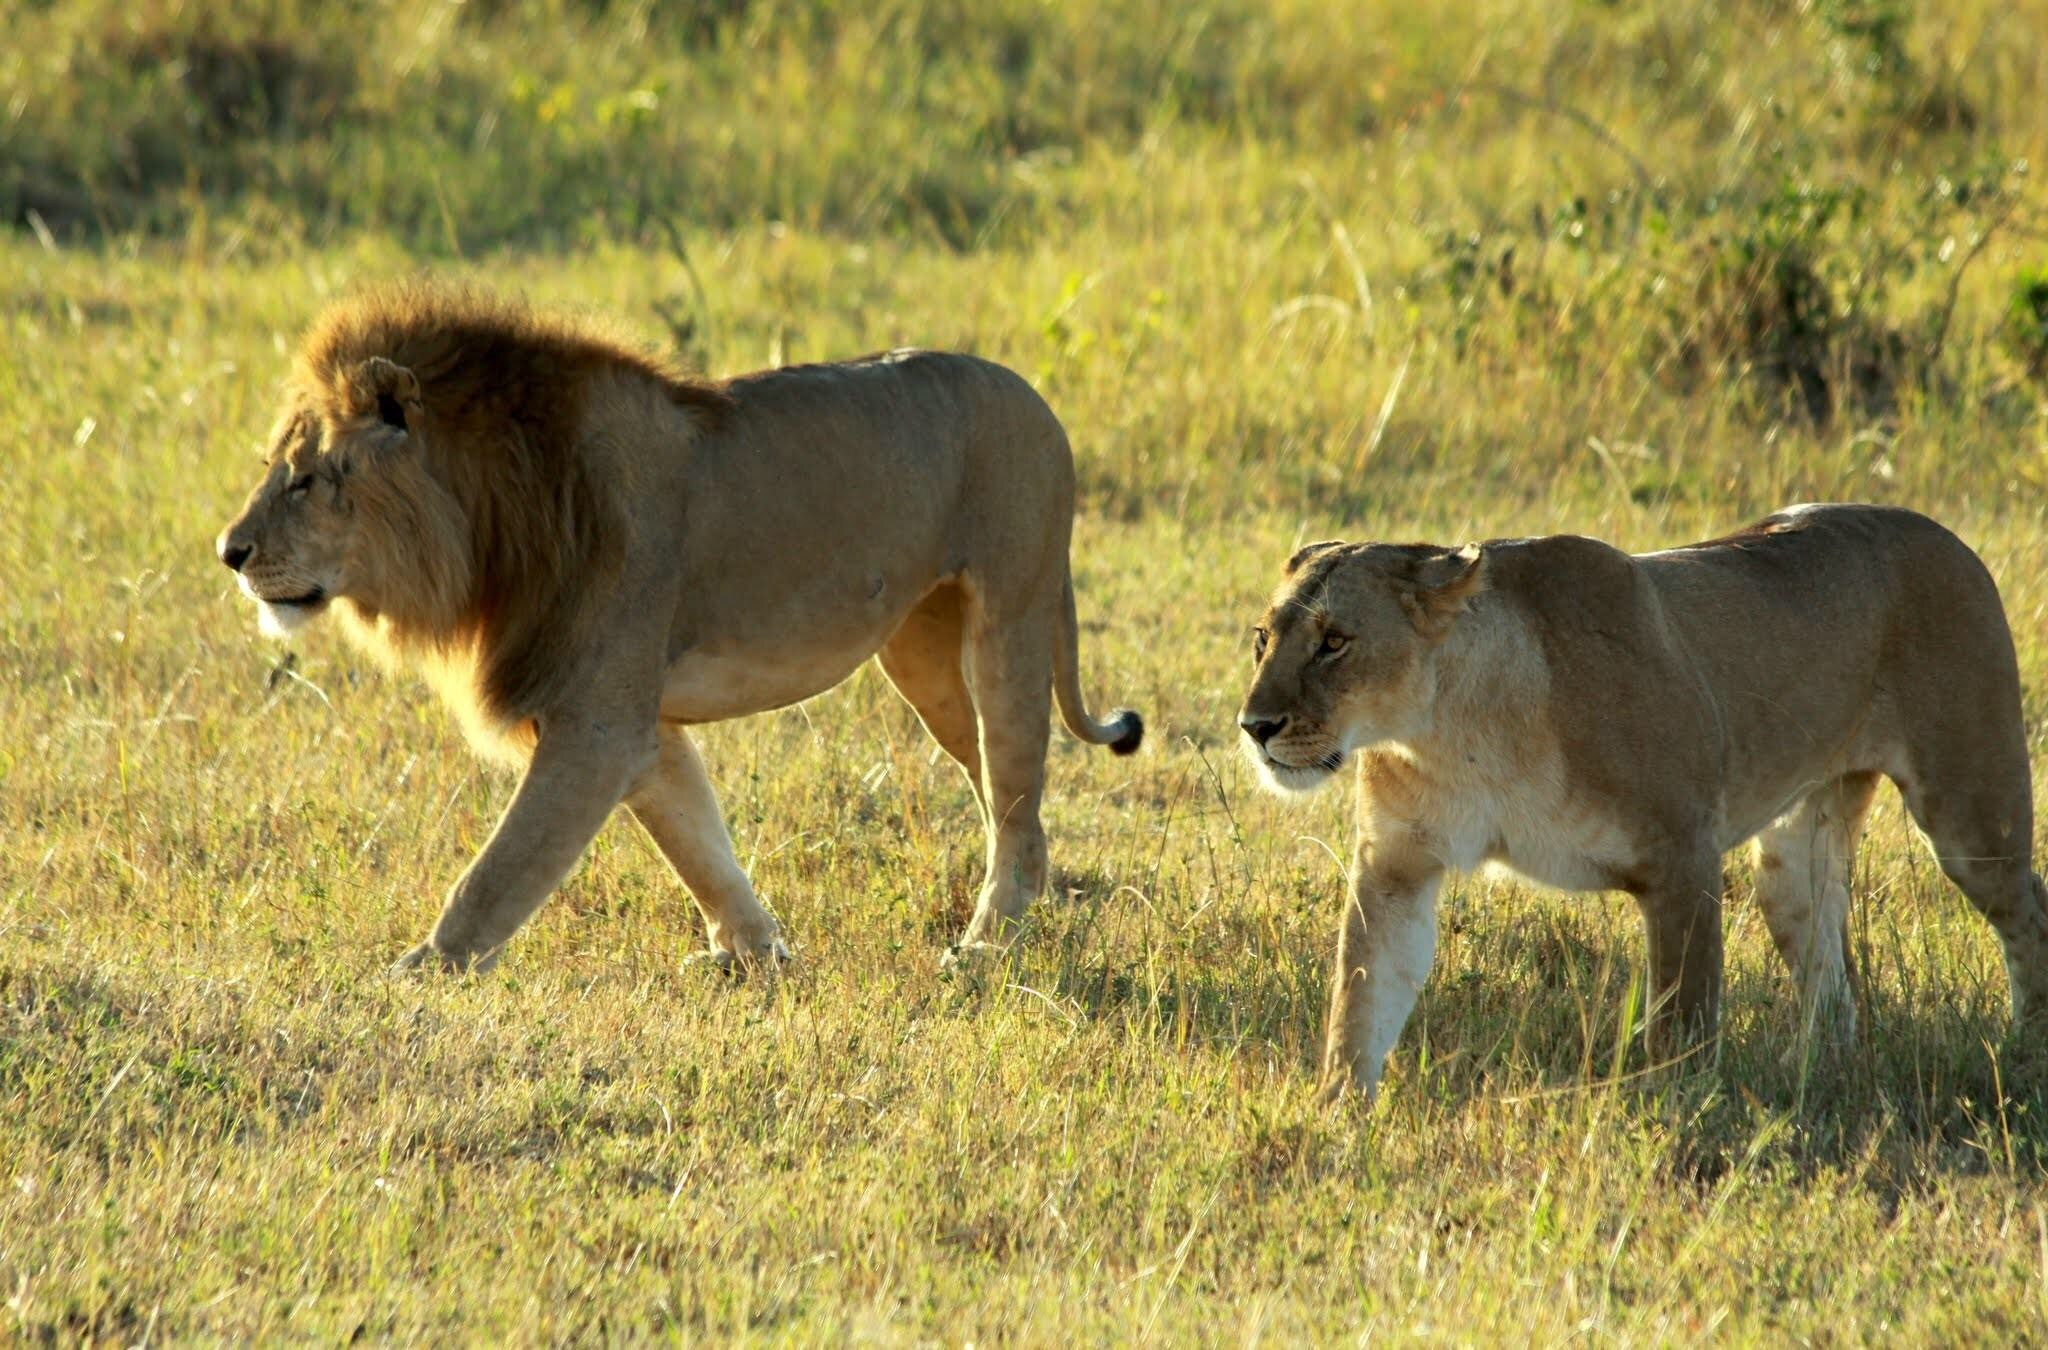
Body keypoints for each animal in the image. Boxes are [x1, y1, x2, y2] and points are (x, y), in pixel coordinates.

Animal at [226, 290, 1155, 975]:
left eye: (306, 480)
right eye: (274, 467)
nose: (228, 552)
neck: (493, 514)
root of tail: (1034, 395)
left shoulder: (596, 724)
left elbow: (498, 872)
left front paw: (416, 973)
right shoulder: (638, 724)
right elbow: (696, 840)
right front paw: (756, 954)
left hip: (1010, 620)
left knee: (1019, 799)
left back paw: (986, 946)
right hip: (924, 659)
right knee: (1007, 800)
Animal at [1228, 503, 2048, 1098]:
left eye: (1335, 641)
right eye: (1262, 639)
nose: (1254, 726)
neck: (1453, 728)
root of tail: (1937, 529)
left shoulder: (1682, 858)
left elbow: (1682, 1022)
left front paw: (1680, 1115)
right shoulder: (1395, 867)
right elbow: (1361, 1001)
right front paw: (1337, 1116)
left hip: (1973, 815)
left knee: (2026, 911)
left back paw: (2026, 1053)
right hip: (1792, 867)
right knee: (1830, 971)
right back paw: (1817, 1072)